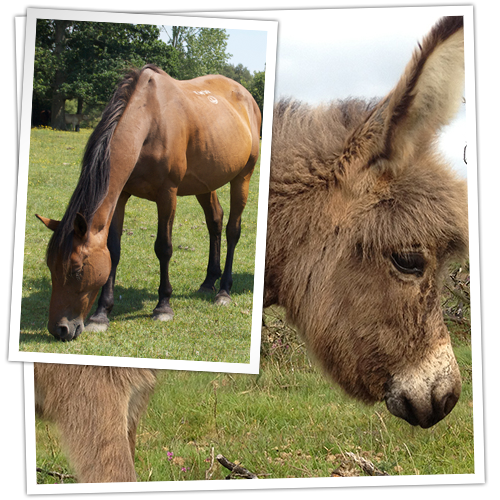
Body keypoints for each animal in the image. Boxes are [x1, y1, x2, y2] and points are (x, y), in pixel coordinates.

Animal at [37, 65, 262, 340]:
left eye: (77, 270)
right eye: (51, 266)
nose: (60, 329)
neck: (149, 120)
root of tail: (247, 96)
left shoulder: (167, 194)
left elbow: (163, 248)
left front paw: (163, 306)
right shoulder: (120, 197)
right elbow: (113, 250)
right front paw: (101, 313)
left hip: (243, 177)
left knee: (232, 230)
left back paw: (224, 291)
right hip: (205, 183)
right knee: (215, 222)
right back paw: (209, 281)